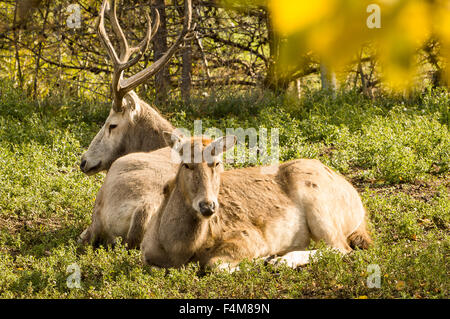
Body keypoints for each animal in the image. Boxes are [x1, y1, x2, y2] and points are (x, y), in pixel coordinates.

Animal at [142, 134, 372, 272]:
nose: (208, 206)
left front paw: (264, 260)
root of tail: (356, 198)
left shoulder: (250, 237)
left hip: (320, 206)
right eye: (186, 165)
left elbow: (214, 265)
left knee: (341, 248)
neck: (177, 249)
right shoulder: (145, 254)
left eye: (217, 163)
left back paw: (281, 260)